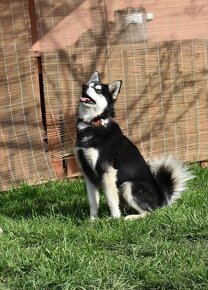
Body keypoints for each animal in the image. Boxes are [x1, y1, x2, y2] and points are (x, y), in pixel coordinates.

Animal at [74, 72, 192, 220]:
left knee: (149, 212)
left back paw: (130, 218)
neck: (93, 124)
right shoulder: (89, 174)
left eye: (99, 90)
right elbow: (93, 201)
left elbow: (111, 200)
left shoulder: (107, 172)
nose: (84, 86)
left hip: (129, 186)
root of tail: (162, 200)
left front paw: (115, 220)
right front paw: (93, 220)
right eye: (89, 85)